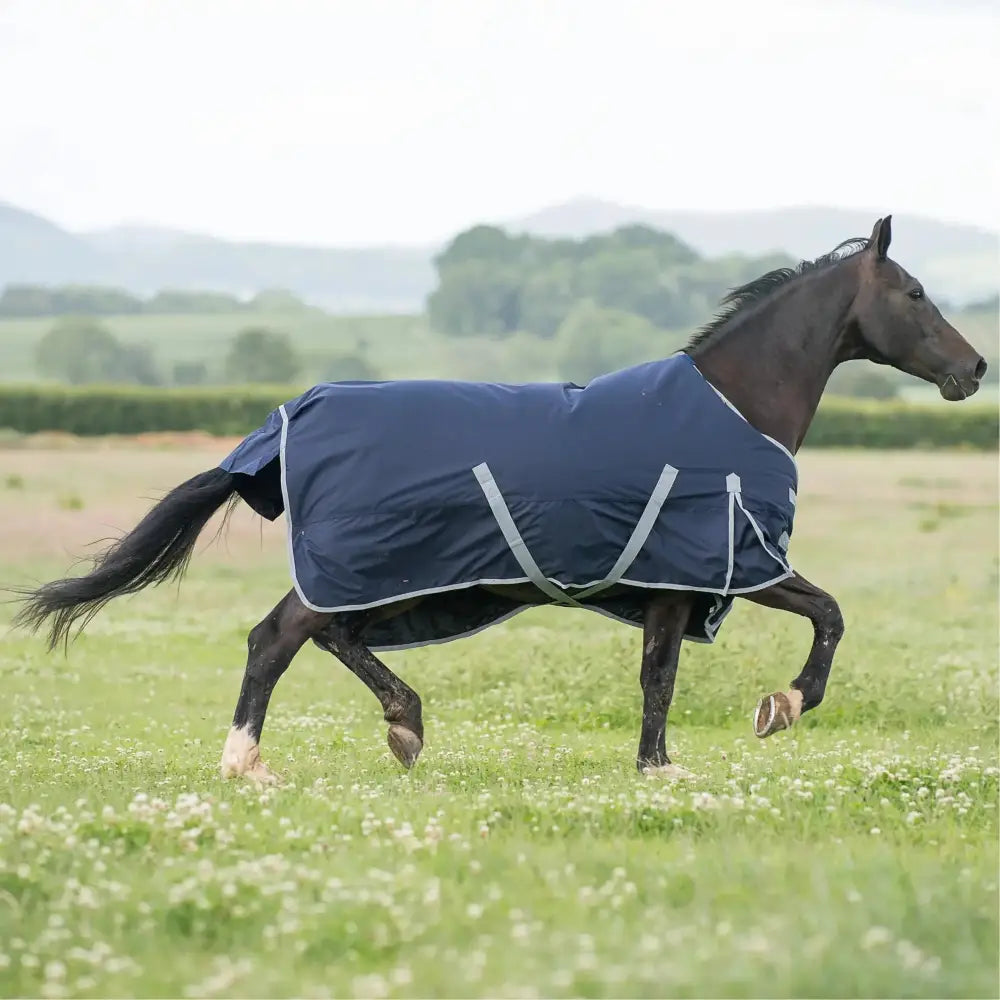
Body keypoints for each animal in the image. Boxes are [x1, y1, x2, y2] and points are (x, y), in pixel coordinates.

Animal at [11, 217, 988, 780]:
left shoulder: (674, 586)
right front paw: (777, 709)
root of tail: (288, 419)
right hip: (373, 563)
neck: (730, 407)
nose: (974, 369)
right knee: (278, 636)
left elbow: (660, 676)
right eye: (914, 293)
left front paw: (658, 764)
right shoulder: (727, 562)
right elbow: (823, 618)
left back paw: (403, 727)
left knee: (330, 635)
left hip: (395, 576)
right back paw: (249, 761)